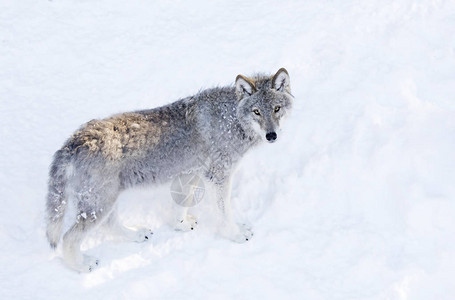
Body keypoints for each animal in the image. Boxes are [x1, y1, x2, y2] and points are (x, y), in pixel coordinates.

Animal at [46, 67, 294, 272]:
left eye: (276, 109)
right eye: (256, 112)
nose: (271, 135)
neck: (231, 120)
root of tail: (72, 143)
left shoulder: (191, 173)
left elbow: (181, 205)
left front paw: (181, 226)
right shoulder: (218, 176)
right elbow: (225, 214)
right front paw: (235, 234)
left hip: (107, 201)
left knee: (110, 225)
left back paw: (137, 235)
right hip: (100, 204)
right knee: (69, 239)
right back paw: (82, 266)